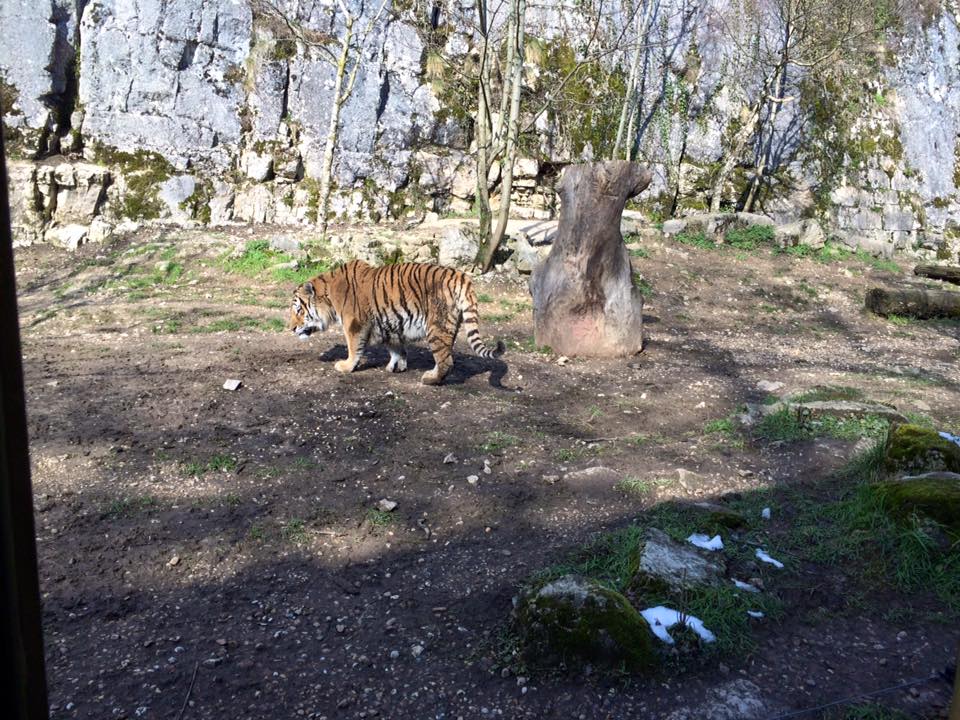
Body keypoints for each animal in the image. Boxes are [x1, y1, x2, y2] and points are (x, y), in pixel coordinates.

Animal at [288, 259, 505, 385]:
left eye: (298, 310)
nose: (291, 328)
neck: (329, 297)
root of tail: (460, 276)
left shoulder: (354, 325)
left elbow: (353, 347)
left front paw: (346, 366)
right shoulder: (390, 323)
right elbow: (396, 348)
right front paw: (397, 366)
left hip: (436, 327)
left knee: (446, 361)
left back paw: (430, 379)